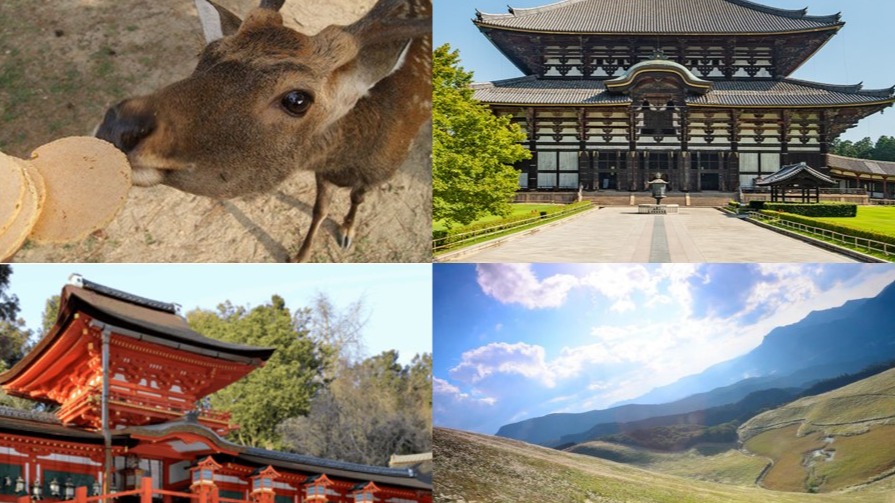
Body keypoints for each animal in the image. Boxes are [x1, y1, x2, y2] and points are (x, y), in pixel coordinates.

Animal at [95, 0, 432, 262]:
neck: (347, 160)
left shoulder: (380, 172)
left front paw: (346, 232)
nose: (118, 125)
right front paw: (300, 256)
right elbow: (319, 209)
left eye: (297, 100)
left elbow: (357, 198)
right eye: (205, 53)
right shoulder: (321, 173)